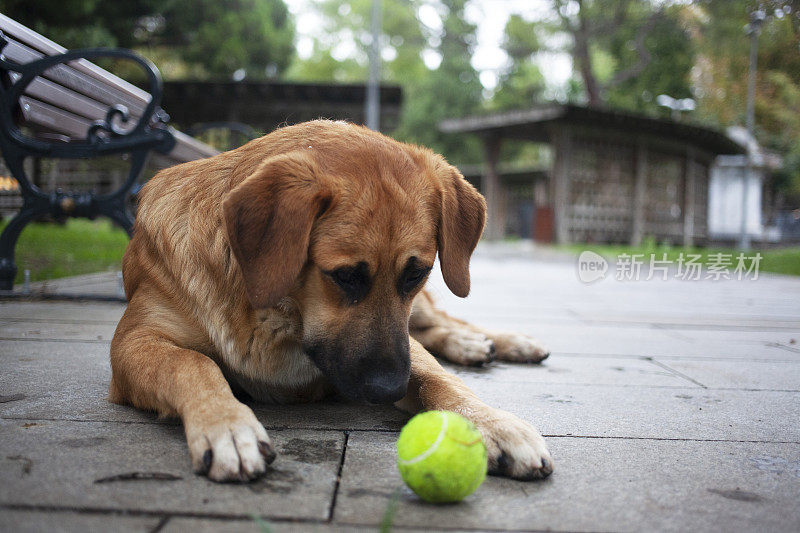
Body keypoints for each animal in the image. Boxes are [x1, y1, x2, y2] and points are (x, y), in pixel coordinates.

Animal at [109, 120, 552, 482]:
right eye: (345, 276)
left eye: (416, 272)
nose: (389, 389)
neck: (278, 318)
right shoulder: (133, 343)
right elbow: (192, 364)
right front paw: (227, 424)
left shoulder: (404, 346)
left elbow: (437, 377)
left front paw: (492, 423)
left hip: (424, 312)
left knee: (443, 323)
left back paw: (502, 342)